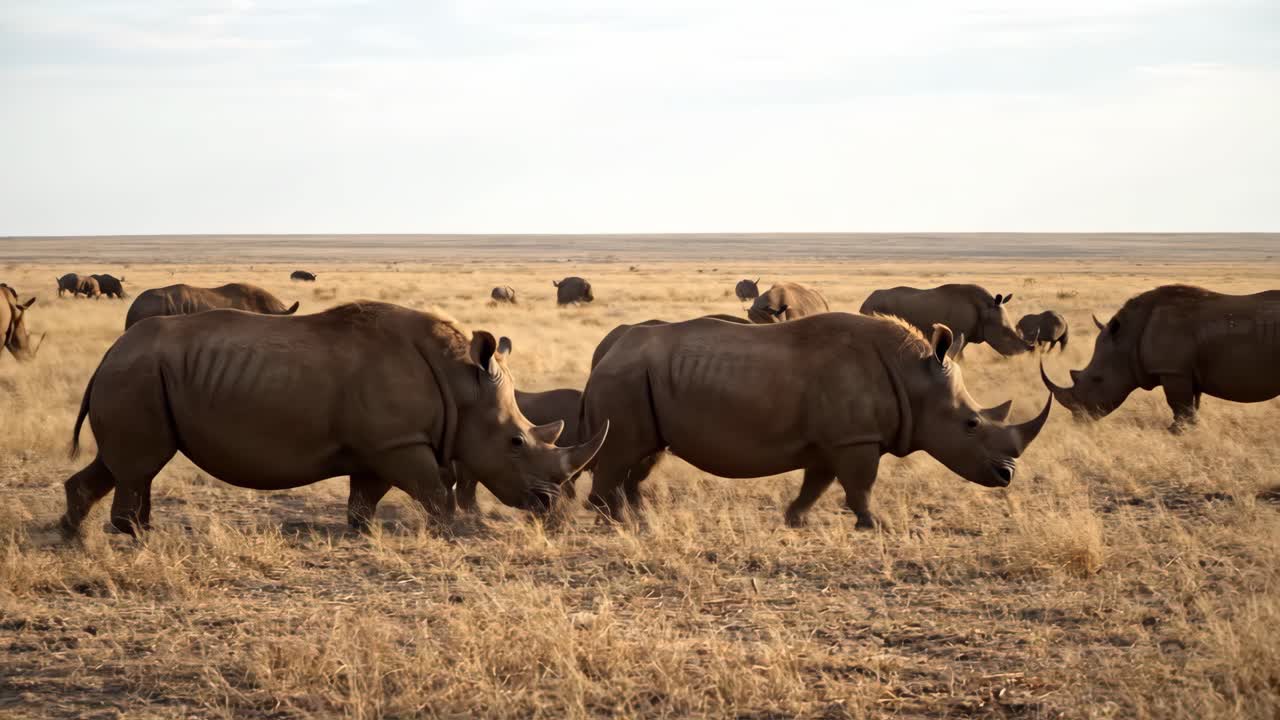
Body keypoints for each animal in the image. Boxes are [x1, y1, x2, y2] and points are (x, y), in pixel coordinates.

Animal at [859, 285, 1034, 357]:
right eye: (1005, 333)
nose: (1022, 354)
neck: (986, 309)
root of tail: (865, 300)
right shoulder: (959, 333)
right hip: (872, 307)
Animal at [1040, 284, 1280, 431]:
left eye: (1097, 379)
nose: (1079, 420)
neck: (1127, 340)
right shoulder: (1184, 370)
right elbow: (1190, 403)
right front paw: (1189, 428)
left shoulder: (1173, 371)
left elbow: (1178, 403)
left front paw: (1177, 432)